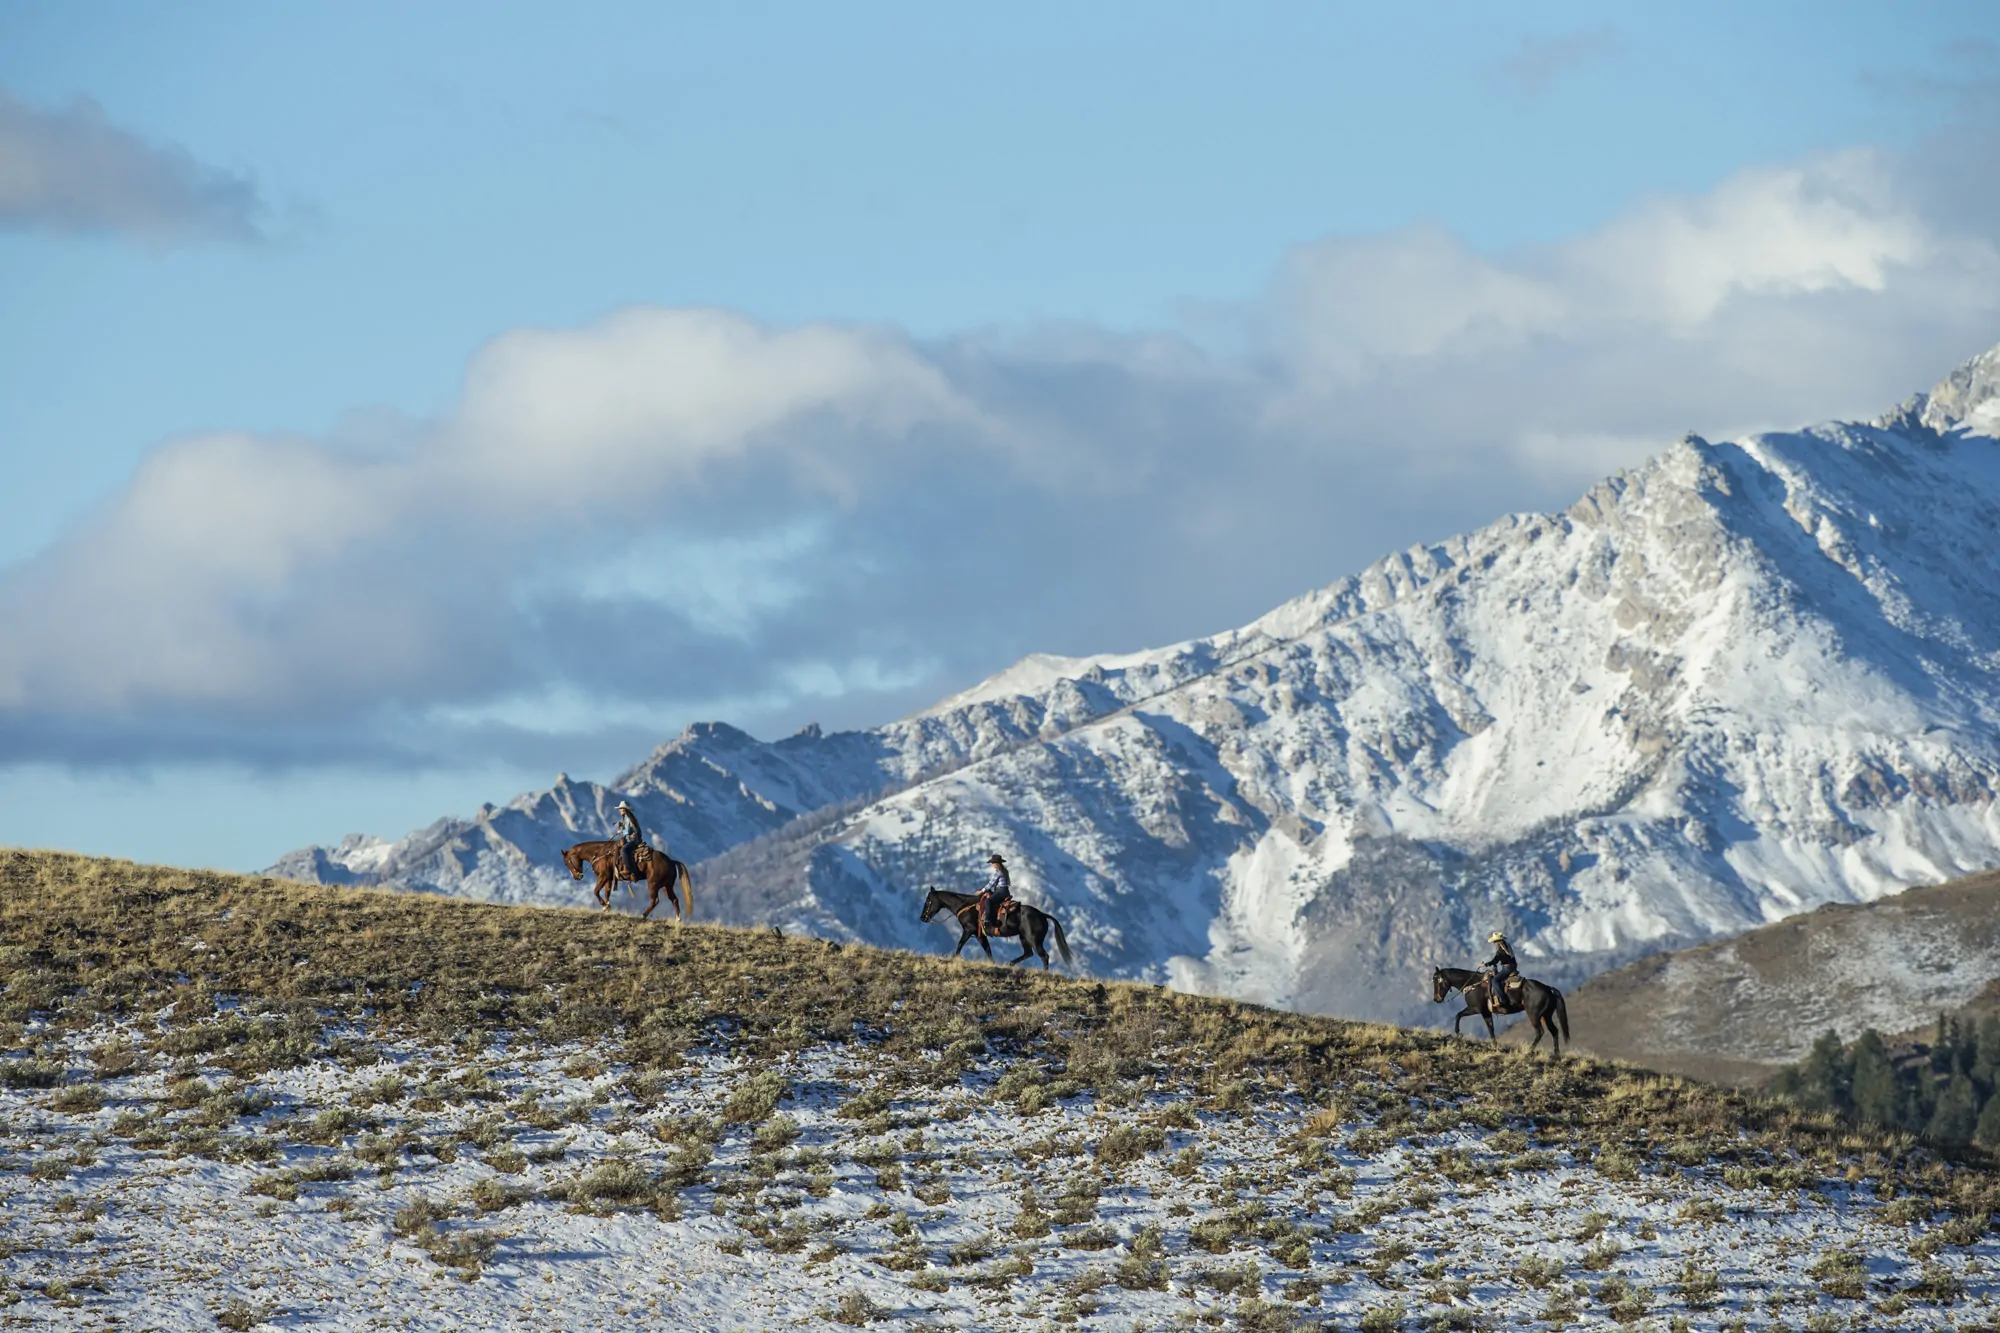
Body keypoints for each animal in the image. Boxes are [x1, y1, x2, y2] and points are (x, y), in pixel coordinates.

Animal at [560, 836, 692, 920]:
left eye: (566, 862)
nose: (577, 877)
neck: (600, 853)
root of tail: (671, 861)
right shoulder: (609, 878)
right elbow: (607, 892)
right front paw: (607, 907)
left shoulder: (604, 876)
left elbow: (596, 891)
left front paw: (604, 905)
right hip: (666, 886)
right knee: (674, 899)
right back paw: (678, 919)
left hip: (653, 884)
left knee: (655, 900)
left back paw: (643, 915)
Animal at [924, 880, 1080, 964]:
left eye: (928, 901)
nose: (922, 917)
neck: (965, 905)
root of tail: (1042, 915)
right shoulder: (980, 935)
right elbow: (988, 950)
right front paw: (993, 964)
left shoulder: (968, 930)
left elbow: (960, 943)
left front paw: (954, 958)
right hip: (1024, 938)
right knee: (1028, 953)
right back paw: (1010, 963)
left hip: (1034, 940)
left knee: (1044, 956)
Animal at [1432, 960, 1568, 1056]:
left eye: (1437, 980)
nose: (1436, 999)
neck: (1472, 984)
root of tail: (1548, 988)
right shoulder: (1486, 1012)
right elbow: (1491, 1029)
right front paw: (1495, 1046)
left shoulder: (1476, 1009)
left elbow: (1458, 1015)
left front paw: (1458, 1033)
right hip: (1546, 1015)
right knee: (1554, 1031)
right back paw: (1556, 1054)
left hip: (1534, 1015)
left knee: (1540, 1031)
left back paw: (1529, 1051)